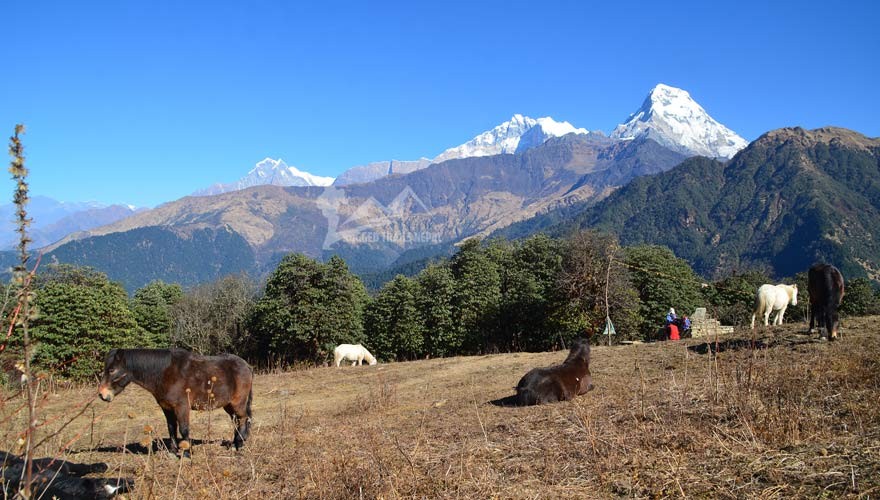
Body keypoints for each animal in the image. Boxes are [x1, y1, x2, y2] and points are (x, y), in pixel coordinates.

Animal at [97, 350, 253, 456]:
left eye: (112, 370)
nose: (102, 394)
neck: (165, 373)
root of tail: (246, 365)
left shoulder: (181, 407)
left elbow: (183, 429)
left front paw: (187, 453)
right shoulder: (167, 408)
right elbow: (171, 428)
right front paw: (173, 451)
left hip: (237, 403)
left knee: (243, 419)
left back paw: (239, 445)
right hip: (229, 405)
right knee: (237, 421)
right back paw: (235, 443)